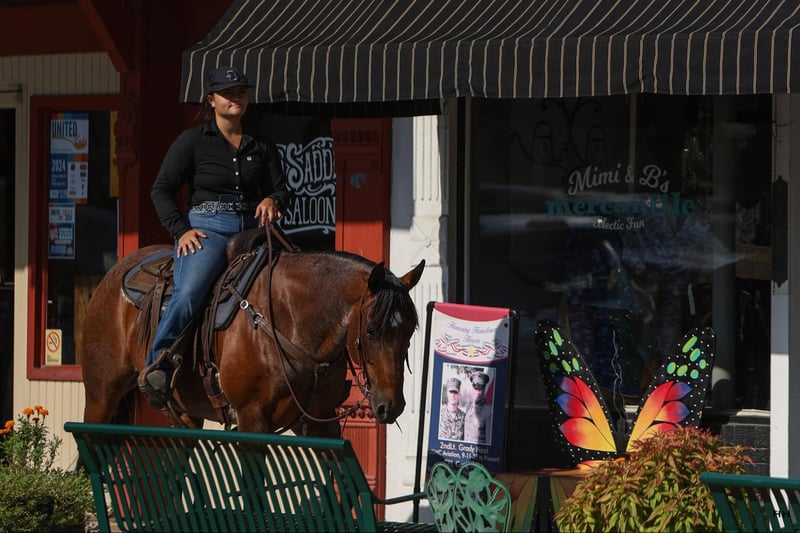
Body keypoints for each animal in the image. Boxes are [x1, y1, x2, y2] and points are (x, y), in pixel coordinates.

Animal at [80, 237, 425, 438]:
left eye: (410, 330)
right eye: (371, 331)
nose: (392, 406)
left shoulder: (319, 420)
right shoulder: (252, 418)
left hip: (185, 412)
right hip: (101, 395)